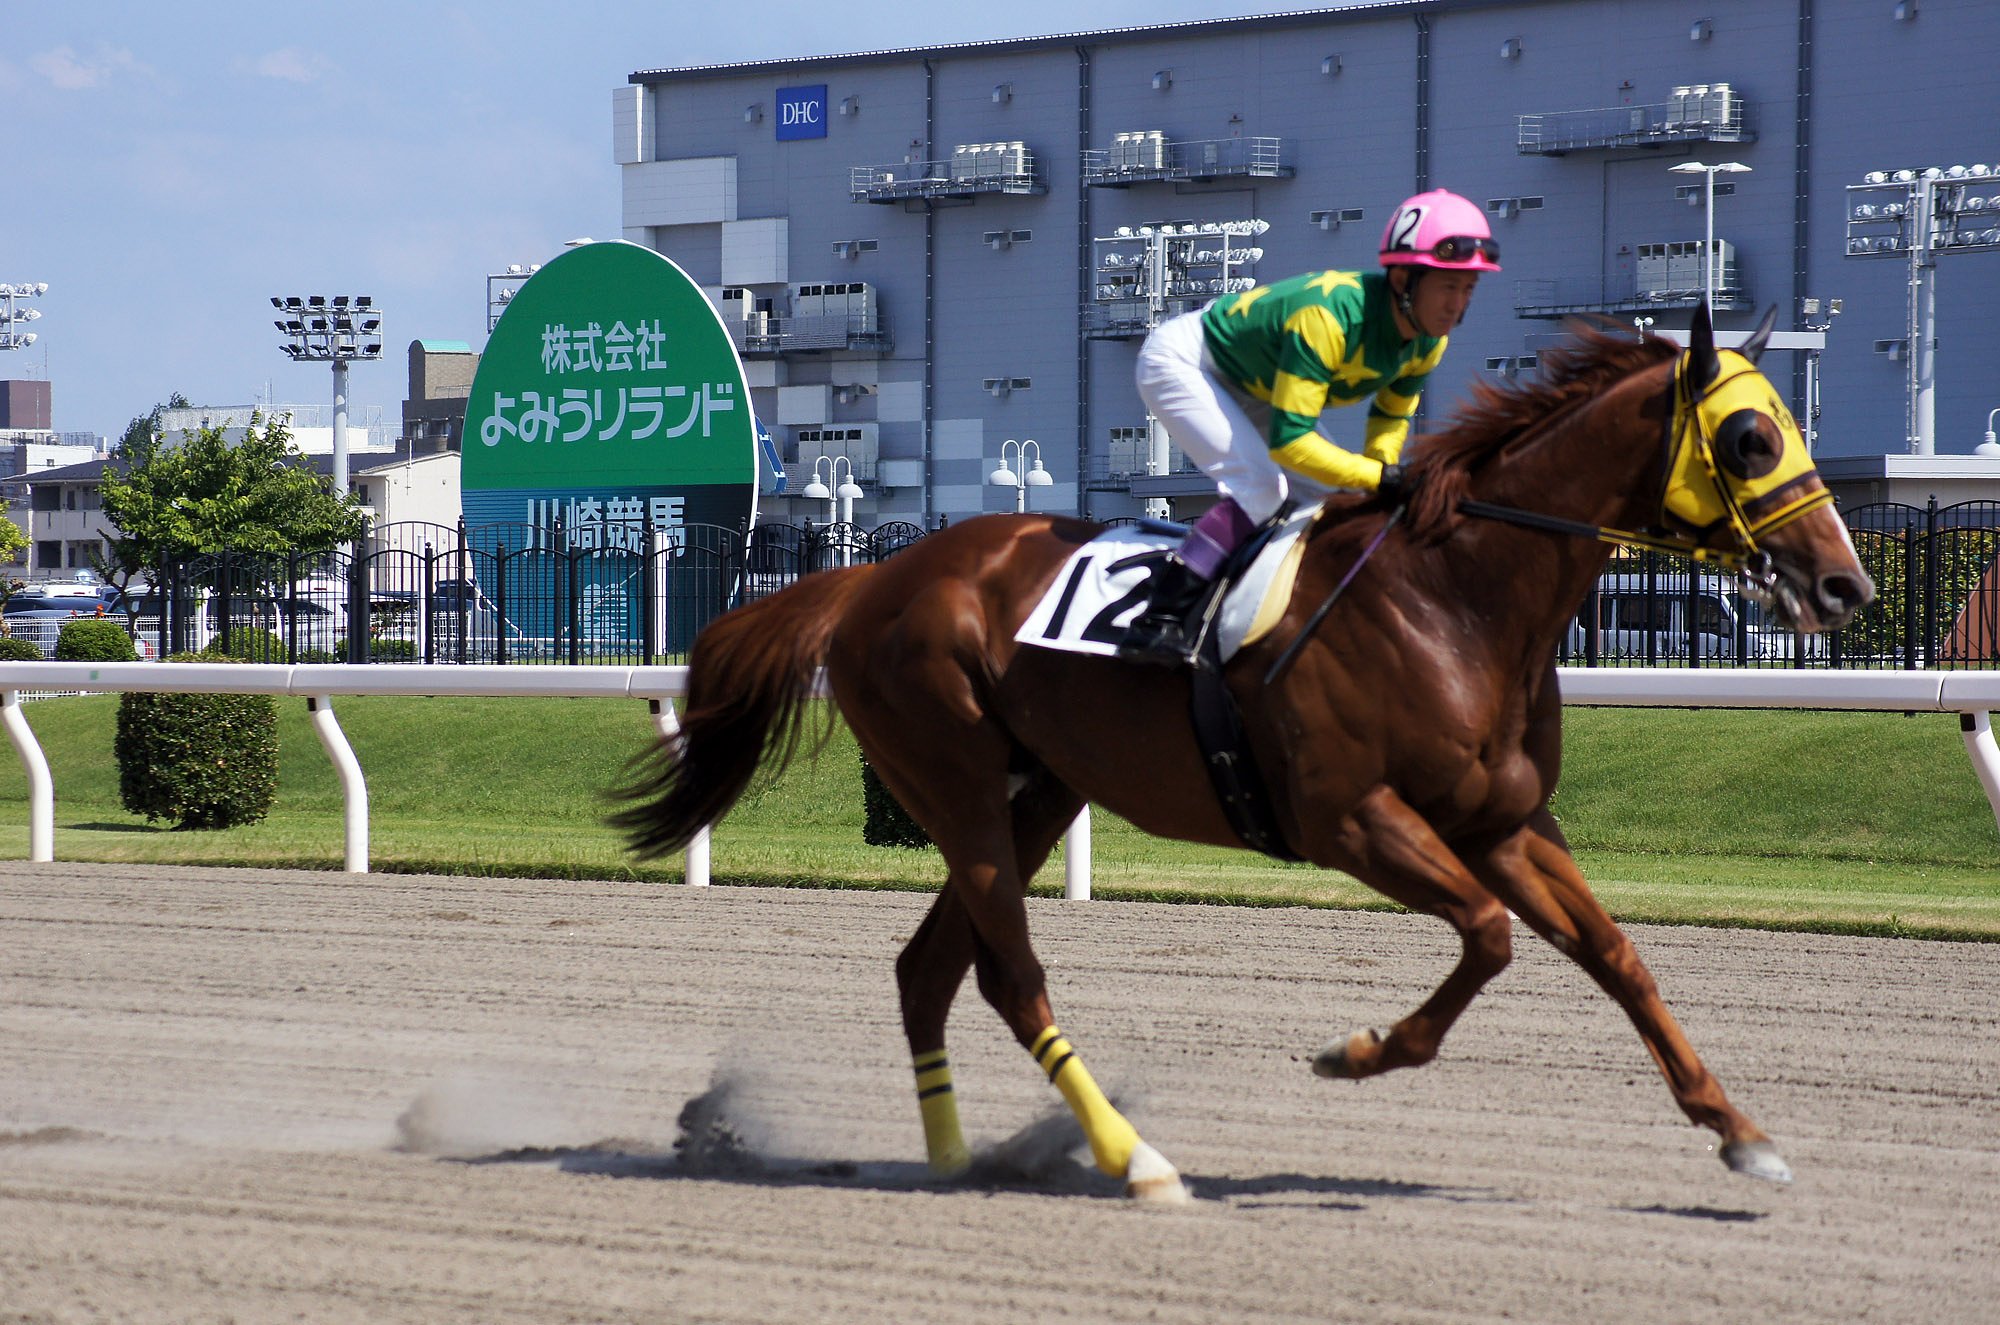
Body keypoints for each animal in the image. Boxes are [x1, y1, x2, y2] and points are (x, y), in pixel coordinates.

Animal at [616, 305, 1873, 1202]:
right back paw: (1135, 1159)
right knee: (1010, 978)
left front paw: (1739, 1131)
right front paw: (1356, 1049)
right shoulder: (1350, 817)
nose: (1843, 585)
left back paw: (955, 1159)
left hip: (1035, 791)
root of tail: (868, 579)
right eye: (1749, 437)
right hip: (959, 786)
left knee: (925, 973)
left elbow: (1615, 954)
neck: (1455, 600)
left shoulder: (1502, 821)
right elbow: (1485, 935)